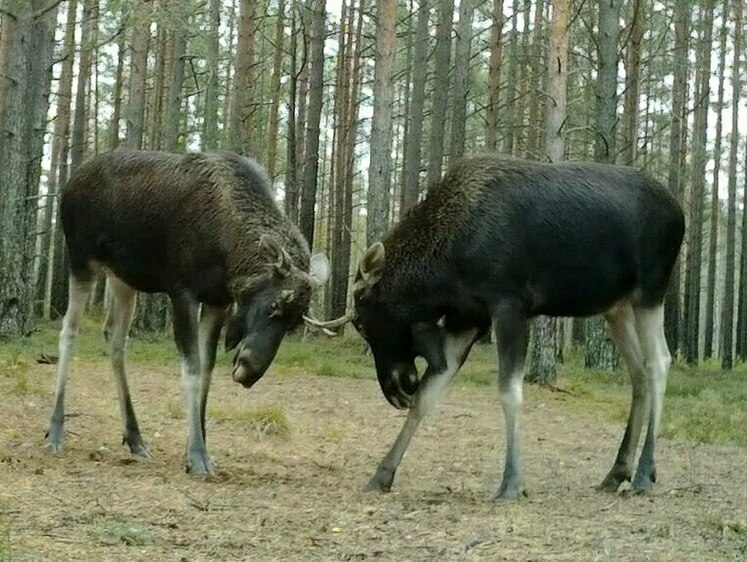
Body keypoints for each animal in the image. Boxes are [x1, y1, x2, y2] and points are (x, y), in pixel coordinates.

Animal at [46, 149, 328, 472]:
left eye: (294, 323)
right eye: (274, 304)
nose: (249, 372)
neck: (230, 253)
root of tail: (71, 181)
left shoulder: (217, 300)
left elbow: (207, 370)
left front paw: (200, 448)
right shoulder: (182, 292)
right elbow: (191, 369)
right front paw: (196, 454)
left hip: (123, 278)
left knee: (115, 338)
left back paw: (135, 437)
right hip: (81, 260)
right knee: (69, 331)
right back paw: (56, 429)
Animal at [344, 154, 684, 498]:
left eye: (360, 323)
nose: (398, 389)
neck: (442, 268)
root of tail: (680, 211)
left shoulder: (509, 305)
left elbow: (509, 392)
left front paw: (511, 481)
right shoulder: (467, 318)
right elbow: (427, 396)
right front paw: (382, 475)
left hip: (650, 291)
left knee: (659, 362)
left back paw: (644, 473)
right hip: (617, 307)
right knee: (638, 373)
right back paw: (617, 471)